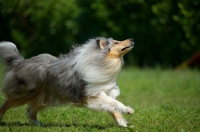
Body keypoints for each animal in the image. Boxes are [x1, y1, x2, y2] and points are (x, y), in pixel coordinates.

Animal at [0, 37, 134, 127]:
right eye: (116, 42)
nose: (132, 39)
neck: (102, 63)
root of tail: (20, 62)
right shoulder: (93, 94)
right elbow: (114, 103)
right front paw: (129, 110)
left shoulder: (104, 92)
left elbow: (113, 108)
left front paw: (122, 123)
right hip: (24, 94)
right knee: (7, 103)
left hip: (44, 97)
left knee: (30, 112)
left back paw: (39, 125)